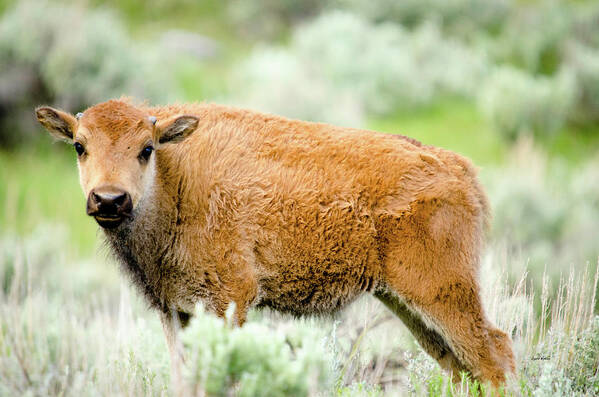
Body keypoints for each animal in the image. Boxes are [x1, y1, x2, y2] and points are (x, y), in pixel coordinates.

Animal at [36, 99, 516, 386]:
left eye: (146, 148)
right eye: (79, 145)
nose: (109, 199)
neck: (177, 181)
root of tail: (459, 169)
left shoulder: (231, 300)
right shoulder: (176, 310)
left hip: (442, 291)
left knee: (493, 354)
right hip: (405, 302)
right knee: (458, 365)